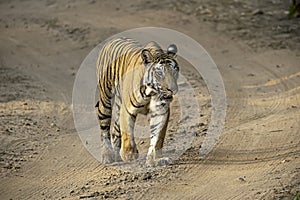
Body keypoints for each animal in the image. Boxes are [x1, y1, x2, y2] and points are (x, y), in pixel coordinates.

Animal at [95, 37, 178, 166]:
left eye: (174, 71)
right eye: (160, 73)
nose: (172, 89)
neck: (151, 93)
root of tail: (112, 39)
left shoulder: (160, 112)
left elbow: (158, 137)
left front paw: (154, 160)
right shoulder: (127, 110)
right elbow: (127, 133)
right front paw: (129, 154)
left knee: (115, 129)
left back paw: (116, 153)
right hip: (105, 99)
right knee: (104, 129)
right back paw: (107, 156)